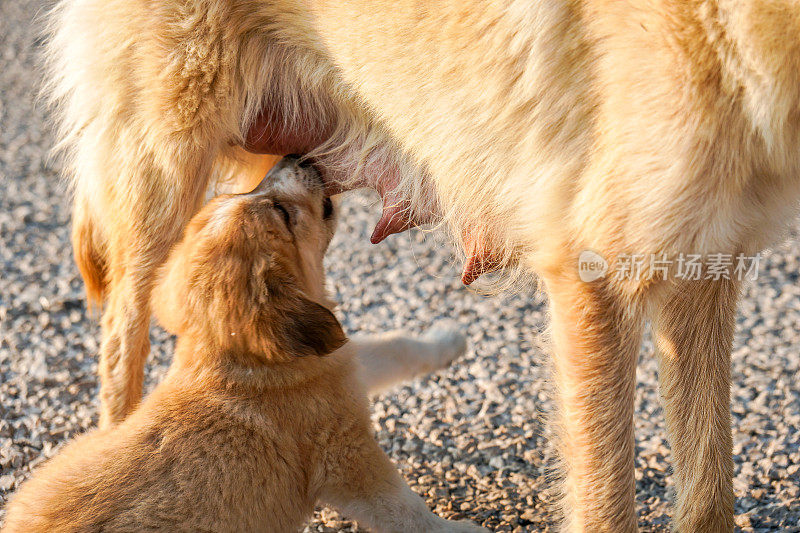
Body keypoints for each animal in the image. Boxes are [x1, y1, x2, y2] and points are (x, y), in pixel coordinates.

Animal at [3, 159, 484, 532]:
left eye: (248, 189)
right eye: (280, 211)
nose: (299, 156)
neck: (235, 354)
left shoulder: (340, 363)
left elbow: (396, 346)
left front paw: (448, 338)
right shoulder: (346, 457)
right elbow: (407, 510)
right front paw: (460, 529)